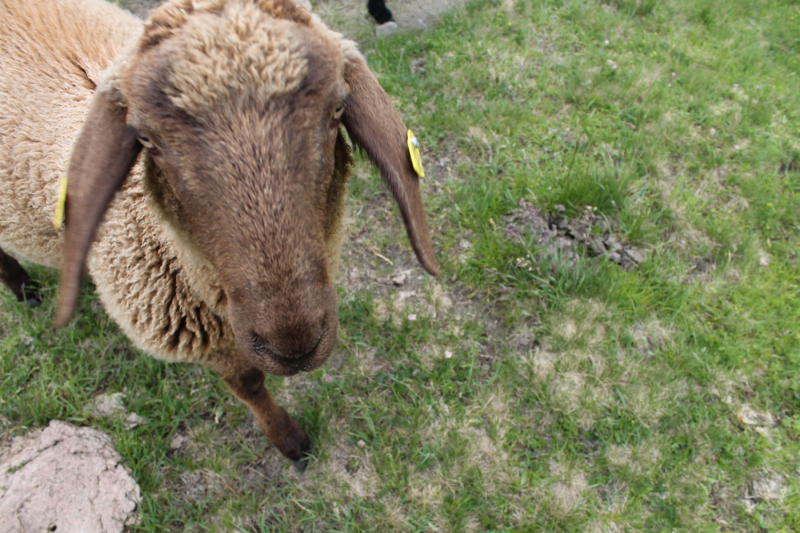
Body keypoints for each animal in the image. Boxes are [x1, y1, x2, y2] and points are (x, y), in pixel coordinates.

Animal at [0, 0, 438, 466]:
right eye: (145, 138)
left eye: (338, 107)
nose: (294, 346)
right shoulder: (203, 344)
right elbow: (249, 385)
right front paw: (290, 441)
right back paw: (23, 288)